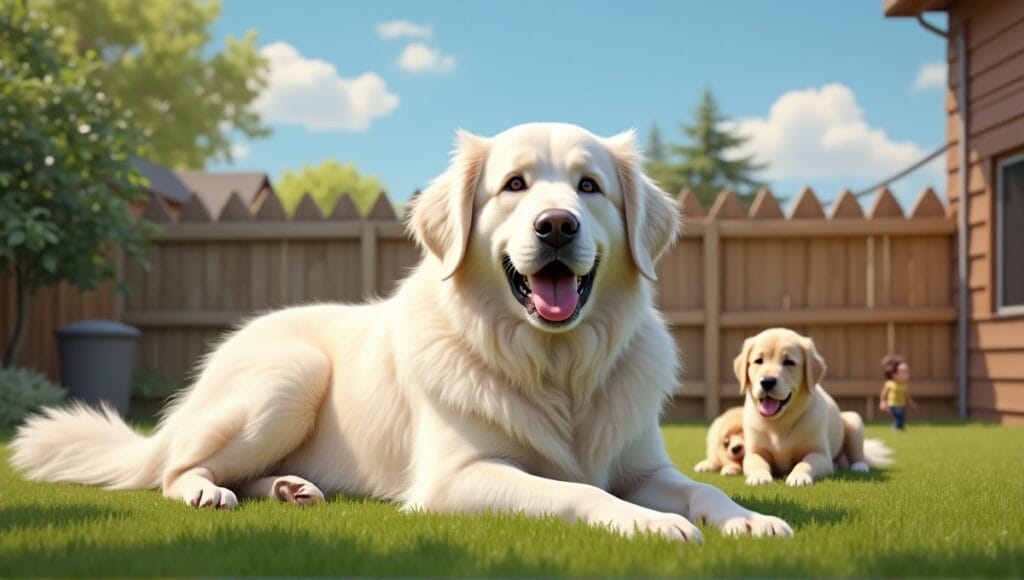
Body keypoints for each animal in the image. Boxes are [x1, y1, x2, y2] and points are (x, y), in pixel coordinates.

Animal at [9, 122, 790, 545]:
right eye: (514, 185)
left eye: (589, 186)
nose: (556, 225)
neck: (555, 365)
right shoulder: (460, 477)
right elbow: (578, 492)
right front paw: (647, 525)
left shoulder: (646, 467)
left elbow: (702, 491)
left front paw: (747, 518)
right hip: (287, 378)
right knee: (172, 471)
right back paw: (207, 491)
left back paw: (289, 488)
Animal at [733, 329, 892, 489]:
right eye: (758, 361)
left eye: (789, 362)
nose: (767, 381)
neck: (780, 422)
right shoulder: (754, 452)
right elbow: (757, 463)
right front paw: (759, 477)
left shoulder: (820, 454)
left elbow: (805, 463)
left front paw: (798, 477)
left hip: (854, 421)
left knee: (858, 453)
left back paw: (859, 466)